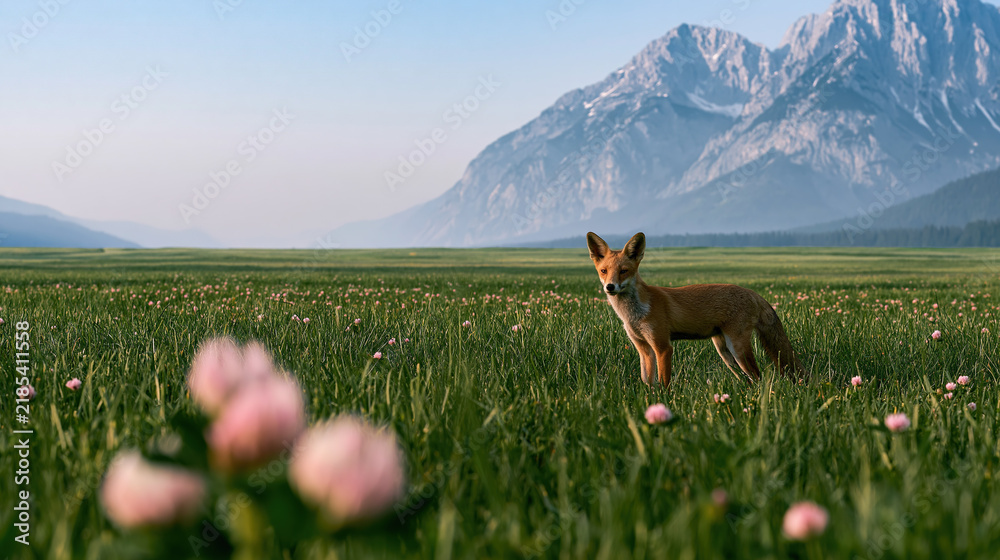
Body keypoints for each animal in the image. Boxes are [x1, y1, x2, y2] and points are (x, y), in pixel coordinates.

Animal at [587, 232, 807, 387]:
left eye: (624, 271)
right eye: (604, 271)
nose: (610, 287)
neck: (634, 314)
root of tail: (752, 292)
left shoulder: (663, 347)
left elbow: (664, 383)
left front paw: (666, 403)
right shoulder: (644, 349)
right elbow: (648, 382)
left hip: (737, 349)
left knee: (758, 377)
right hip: (725, 352)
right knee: (750, 380)